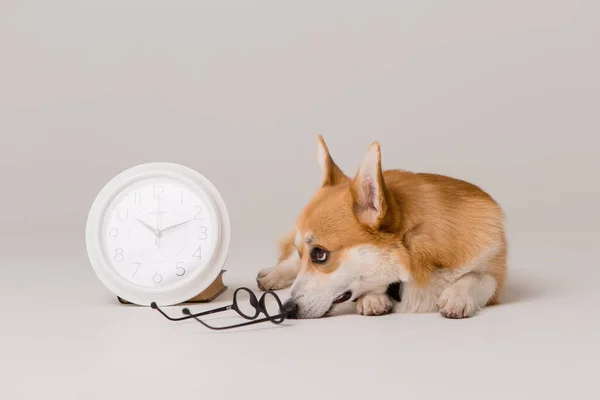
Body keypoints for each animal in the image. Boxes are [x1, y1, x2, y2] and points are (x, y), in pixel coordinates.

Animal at [258, 135, 506, 318]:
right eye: (308, 254)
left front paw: (457, 296)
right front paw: (373, 298)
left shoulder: (494, 276)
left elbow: (477, 276)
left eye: (320, 254)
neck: (416, 254)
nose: (286, 309)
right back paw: (272, 275)